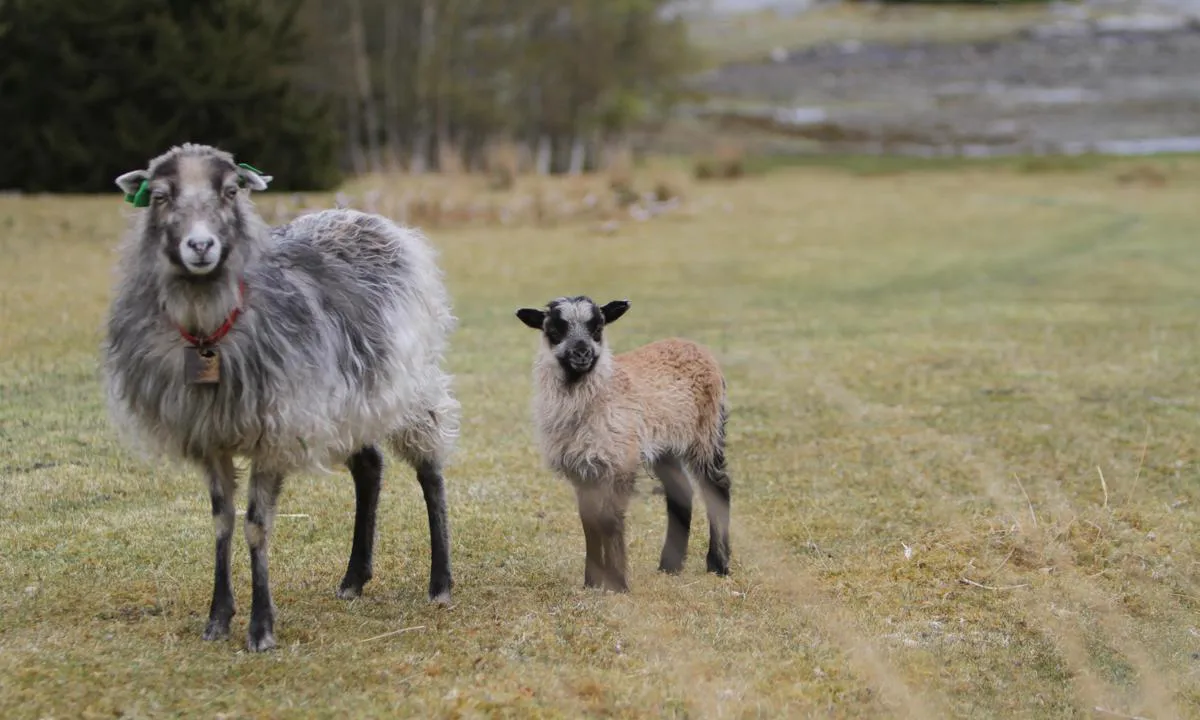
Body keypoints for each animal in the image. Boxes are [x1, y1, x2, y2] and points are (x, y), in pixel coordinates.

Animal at [102, 142, 458, 652]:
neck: (209, 333)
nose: (200, 246)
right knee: (369, 467)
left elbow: (256, 525)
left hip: (405, 381)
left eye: (231, 191)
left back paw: (440, 582)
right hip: (348, 400)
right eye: (161, 196)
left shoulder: (276, 431)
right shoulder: (210, 436)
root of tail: (366, 217)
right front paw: (217, 618)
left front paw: (260, 628)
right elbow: (222, 521)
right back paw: (354, 578)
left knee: (430, 470)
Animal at [513, 295, 729, 592]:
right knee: (682, 492)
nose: (582, 354)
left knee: (717, 486)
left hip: (706, 431)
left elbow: (611, 520)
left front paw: (617, 584)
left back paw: (719, 564)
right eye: (554, 330)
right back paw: (670, 565)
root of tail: (695, 346)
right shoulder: (583, 469)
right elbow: (589, 523)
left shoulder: (620, 461)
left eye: (598, 327)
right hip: (665, 445)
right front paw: (592, 583)